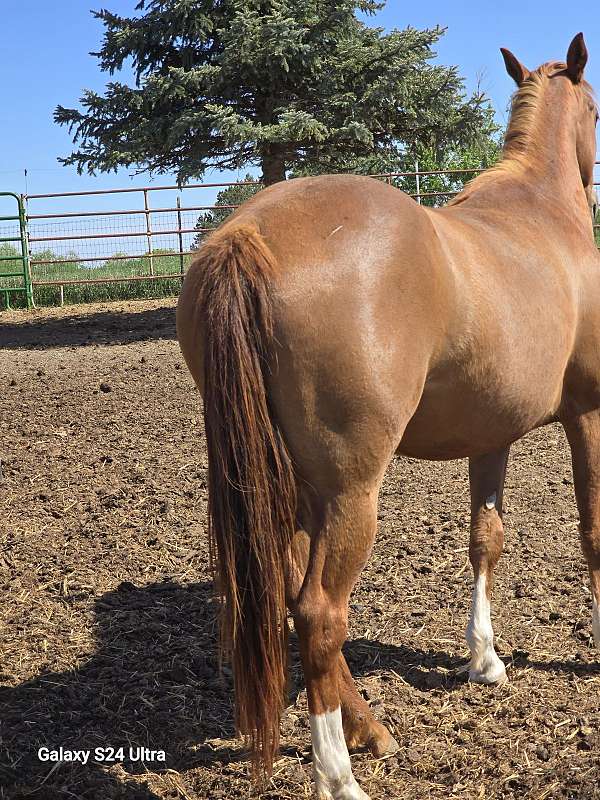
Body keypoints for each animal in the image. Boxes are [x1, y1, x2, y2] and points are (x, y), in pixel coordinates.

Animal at [177, 34, 599, 800]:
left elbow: (485, 539)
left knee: (292, 593)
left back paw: (369, 729)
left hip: (290, 482)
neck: (538, 212)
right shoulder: (588, 411)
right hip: (352, 490)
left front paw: (484, 659)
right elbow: (592, 531)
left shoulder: (491, 436)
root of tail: (247, 235)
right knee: (318, 612)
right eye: (597, 112)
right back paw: (338, 773)